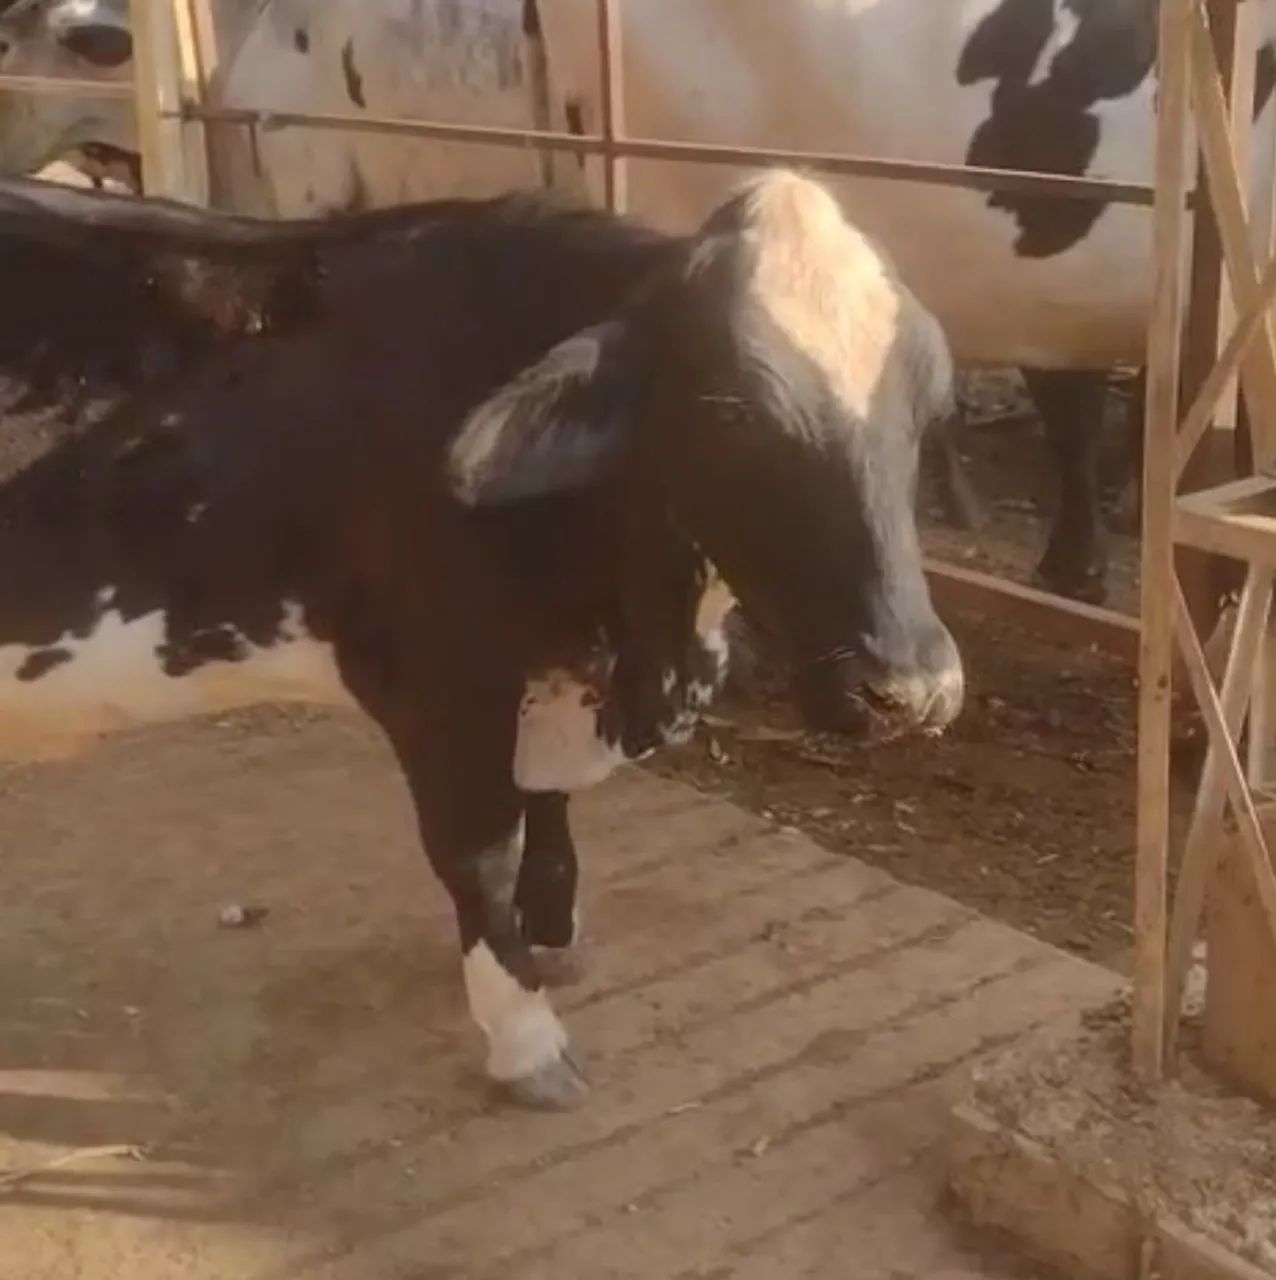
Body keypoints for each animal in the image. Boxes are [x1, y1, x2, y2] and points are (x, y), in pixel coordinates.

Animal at [0, 168, 964, 1107]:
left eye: (924, 409)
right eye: (730, 415)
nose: (912, 690)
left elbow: (548, 803)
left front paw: (554, 934)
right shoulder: (439, 682)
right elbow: (480, 852)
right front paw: (526, 1038)